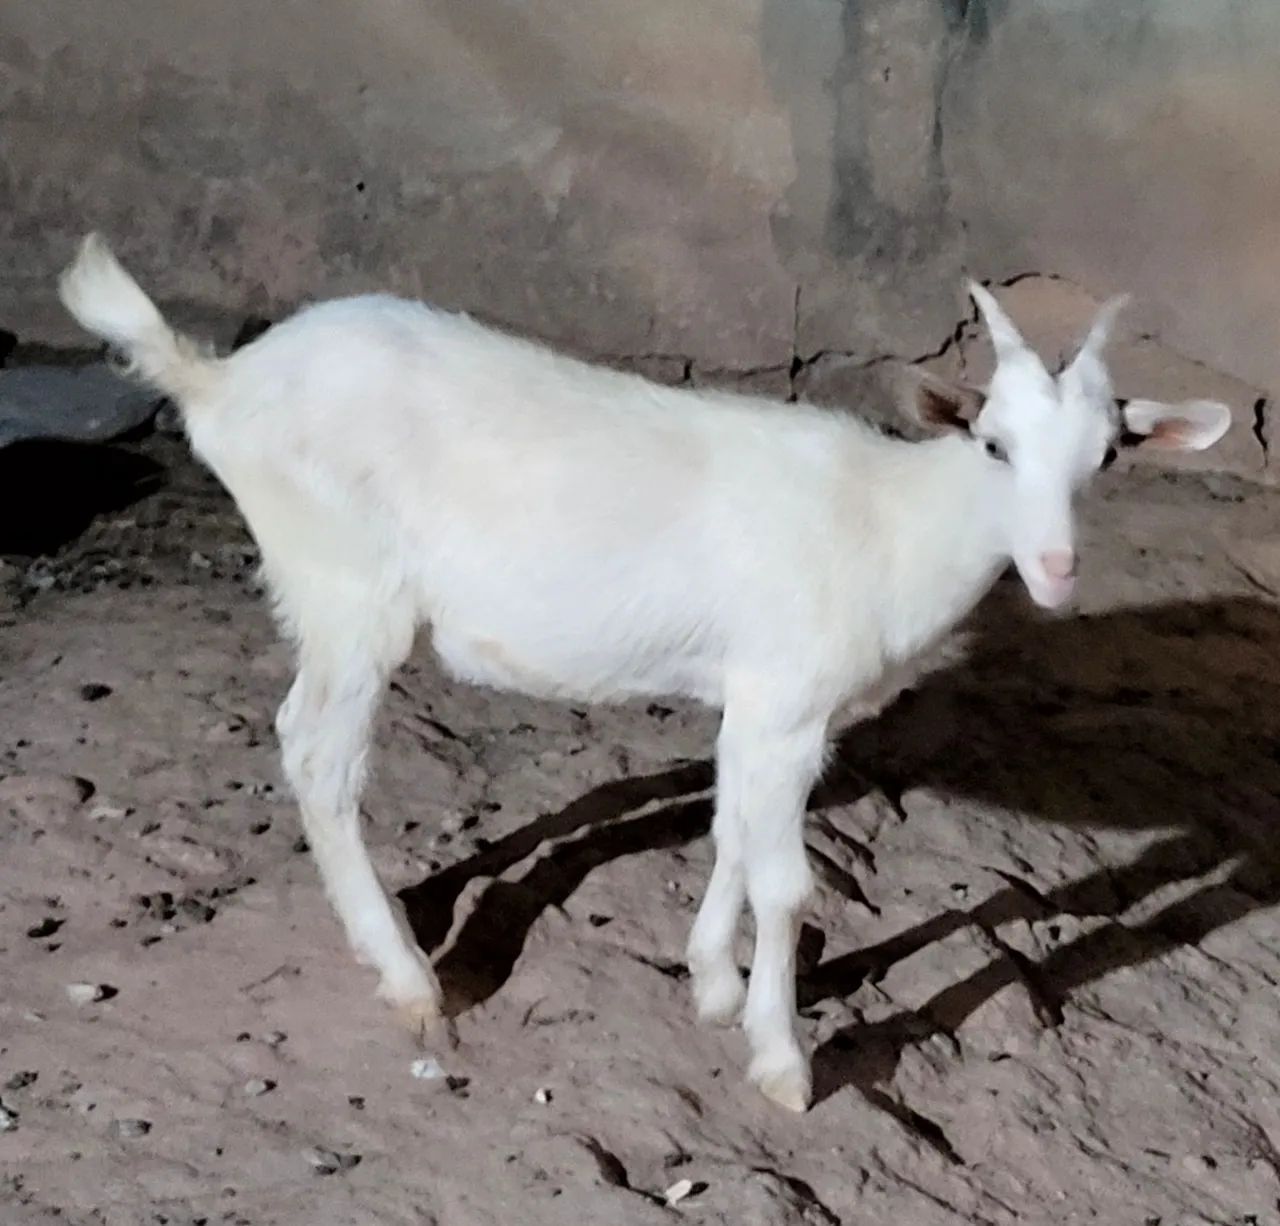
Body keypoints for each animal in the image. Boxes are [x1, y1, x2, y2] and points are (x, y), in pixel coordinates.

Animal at [57, 233, 1231, 1111]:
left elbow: (728, 829)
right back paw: (406, 978)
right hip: (349, 593)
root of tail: (220, 377)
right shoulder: (788, 698)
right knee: (317, 757)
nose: (1056, 571)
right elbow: (786, 880)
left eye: (1106, 458)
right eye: (992, 444)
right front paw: (781, 1058)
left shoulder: (763, 706)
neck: (891, 522)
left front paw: (711, 981)